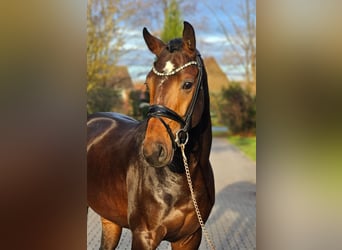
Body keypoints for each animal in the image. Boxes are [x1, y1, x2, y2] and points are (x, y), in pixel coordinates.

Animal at [89, 22, 216, 250]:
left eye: (187, 84)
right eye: (148, 84)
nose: (154, 151)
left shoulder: (190, 237)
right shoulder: (144, 236)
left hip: (110, 220)